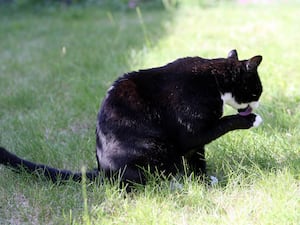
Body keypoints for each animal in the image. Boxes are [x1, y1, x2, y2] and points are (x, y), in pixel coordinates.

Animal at [0, 50, 262, 187]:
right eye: (257, 91)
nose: (259, 101)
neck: (213, 80)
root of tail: (102, 172)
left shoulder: (196, 144)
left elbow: (197, 160)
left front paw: (203, 182)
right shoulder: (193, 133)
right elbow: (224, 123)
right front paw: (252, 120)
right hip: (155, 149)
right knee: (149, 182)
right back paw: (174, 185)